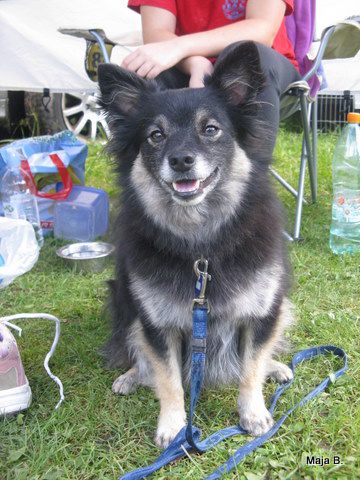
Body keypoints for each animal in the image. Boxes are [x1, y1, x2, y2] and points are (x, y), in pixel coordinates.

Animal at [97, 41, 292, 450]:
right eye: (155, 135)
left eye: (211, 129)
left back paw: (278, 367)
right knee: (137, 352)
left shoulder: (261, 310)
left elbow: (251, 366)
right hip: (123, 300)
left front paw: (253, 413)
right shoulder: (157, 322)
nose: (181, 160)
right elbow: (167, 376)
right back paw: (131, 376)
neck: (201, 246)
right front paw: (173, 426)